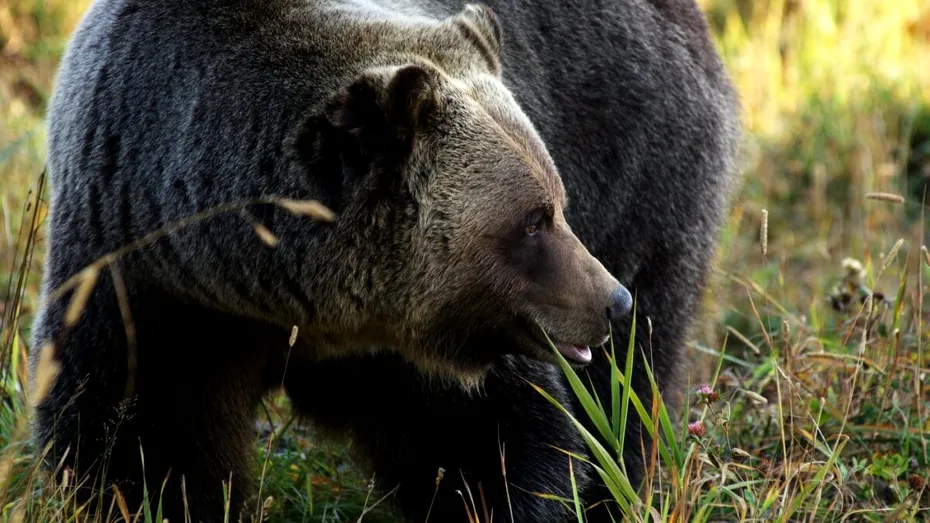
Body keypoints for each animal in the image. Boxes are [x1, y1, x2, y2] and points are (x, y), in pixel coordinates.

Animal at [30, 0, 740, 520]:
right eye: (534, 220)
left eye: (557, 201)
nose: (611, 300)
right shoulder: (144, 280)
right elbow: (136, 440)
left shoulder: (425, 345)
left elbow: (493, 443)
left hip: (644, 170)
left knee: (632, 381)